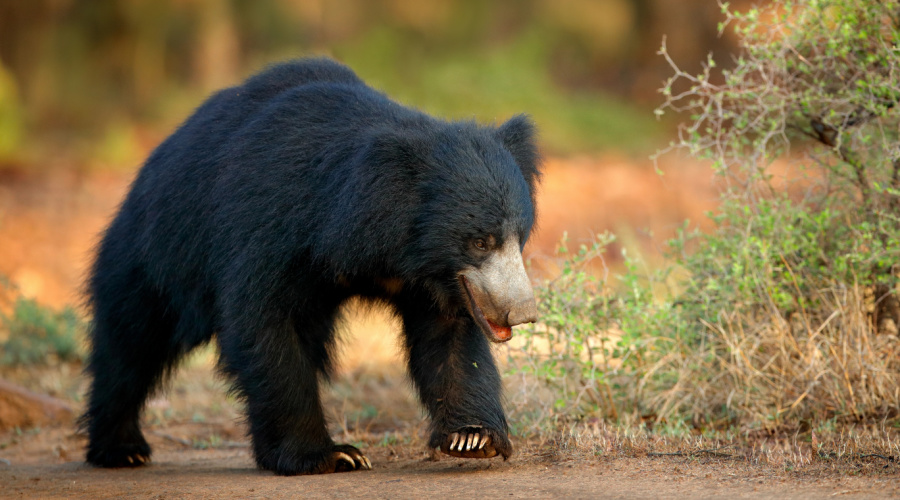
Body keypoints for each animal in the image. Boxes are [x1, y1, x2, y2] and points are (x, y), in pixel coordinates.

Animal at [79, 56, 540, 474]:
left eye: (518, 237)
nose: (523, 312)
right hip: (158, 253)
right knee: (133, 343)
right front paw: (329, 456)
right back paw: (121, 449)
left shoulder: (435, 282)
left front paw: (473, 438)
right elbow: (267, 325)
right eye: (480, 241)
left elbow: (451, 342)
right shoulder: (273, 228)